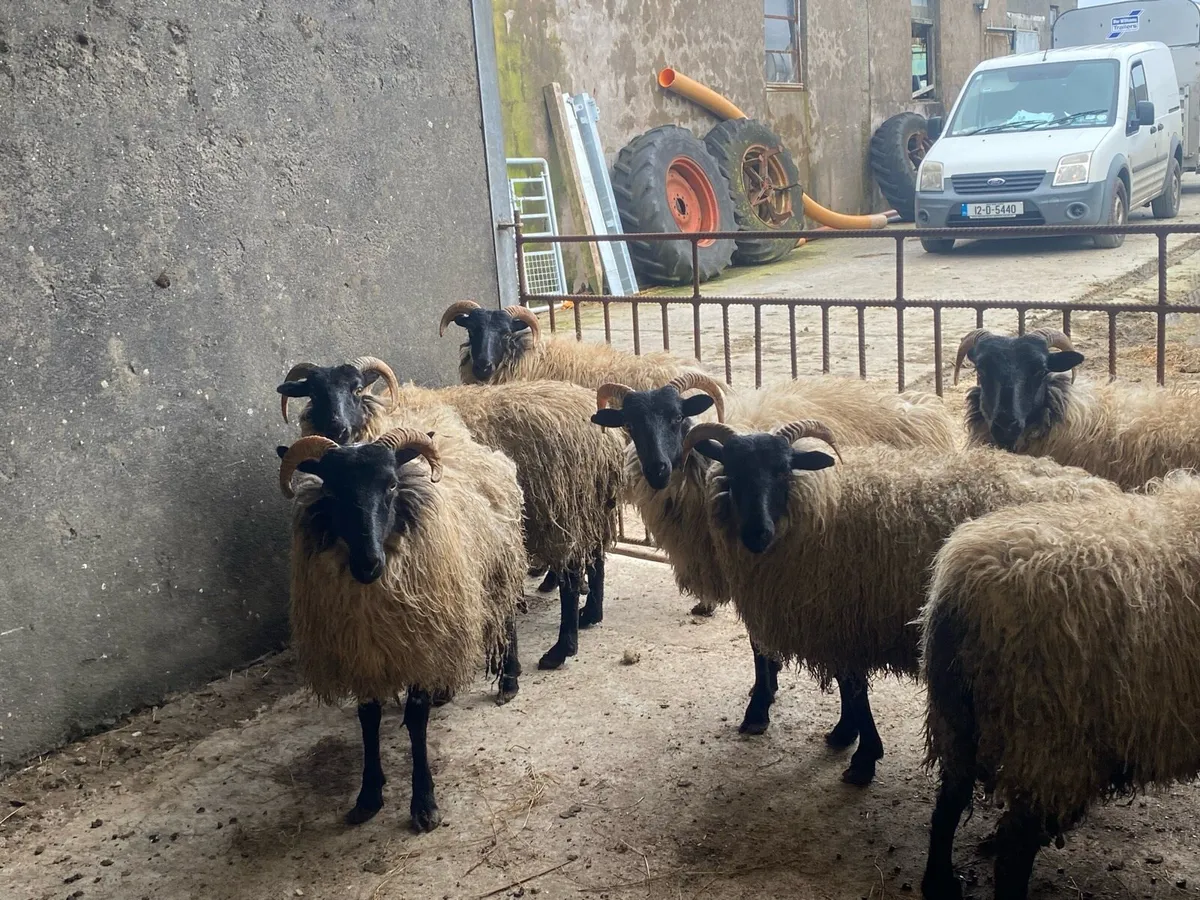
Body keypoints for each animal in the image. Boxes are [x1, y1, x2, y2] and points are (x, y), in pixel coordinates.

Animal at [276, 420, 526, 833]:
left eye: (391, 484)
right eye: (331, 490)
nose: (368, 564)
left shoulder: (422, 643)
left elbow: (416, 720)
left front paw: (423, 803)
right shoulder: (363, 655)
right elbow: (368, 720)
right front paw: (368, 794)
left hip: (498, 568)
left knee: (507, 618)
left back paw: (509, 679)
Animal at [277, 356, 624, 671]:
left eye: (357, 388)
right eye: (314, 393)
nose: (337, 427)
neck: (385, 414)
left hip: (565, 508)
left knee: (572, 575)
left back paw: (561, 648)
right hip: (590, 505)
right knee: (597, 557)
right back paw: (590, 614)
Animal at [592, 374, 959, 738]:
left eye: (676, 417)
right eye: (630, 425)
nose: (658, 470)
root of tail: (920, 404)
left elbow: (761, 642)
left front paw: (761, 706)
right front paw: (766, 687)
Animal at [686, 420, 1120, 785]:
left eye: (782, 470)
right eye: (733, 472)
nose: (756, 534)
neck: (823, 504)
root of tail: (1106, 492)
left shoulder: (847, 618)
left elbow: (855, 689)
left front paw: (863, 759)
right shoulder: (842, 621)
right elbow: (848, 684)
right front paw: (845, 734)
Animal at [919, 472, 1200, 900]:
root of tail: (961, 590)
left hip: (957, 718)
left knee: (949, 800)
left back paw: (939, 882)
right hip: (1048, 740)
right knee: (1014, 850)